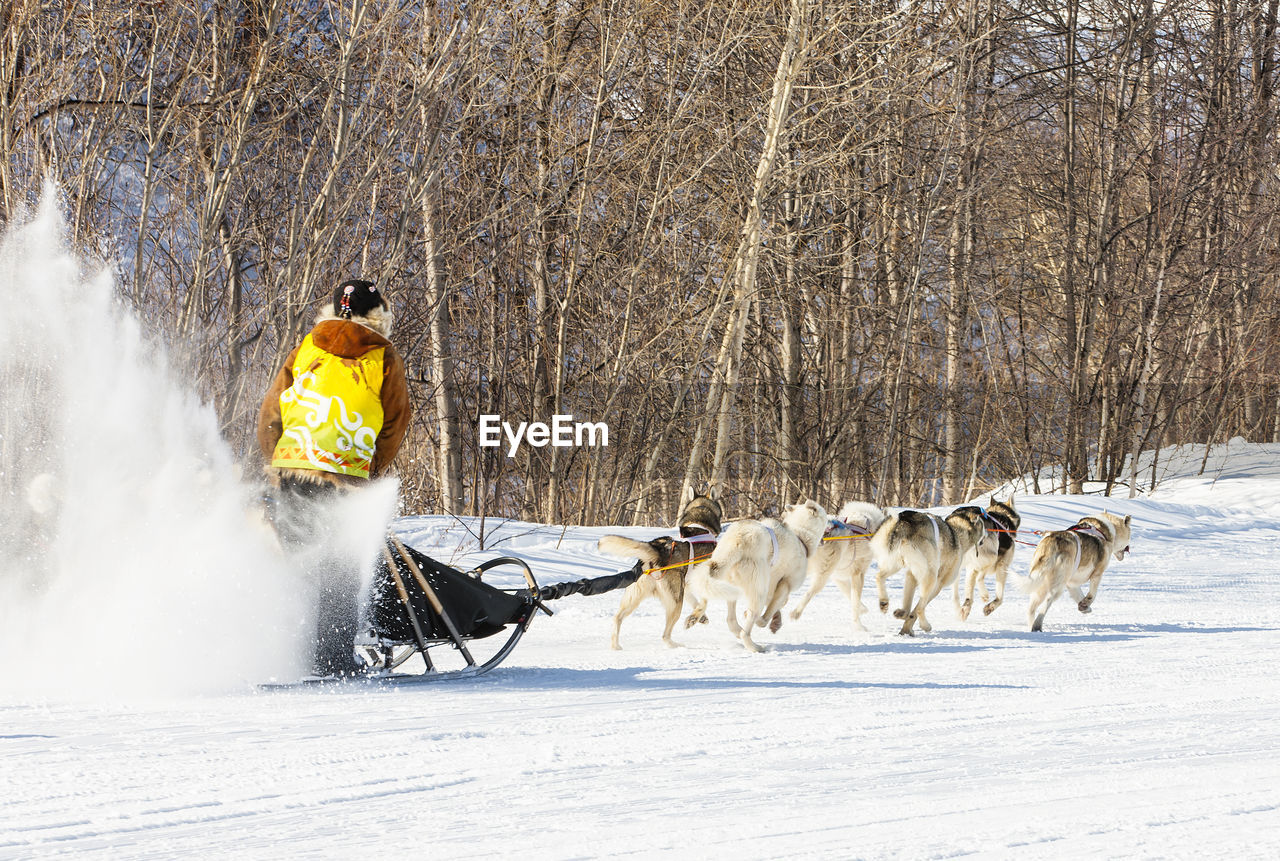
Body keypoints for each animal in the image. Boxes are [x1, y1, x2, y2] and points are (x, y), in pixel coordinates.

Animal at [596, 486, 727, 647]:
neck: (699, 524)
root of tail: (657, 551)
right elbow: (703, 603)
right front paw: (694, 618)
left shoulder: (686, 586)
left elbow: (697, 602)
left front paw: (699, 617)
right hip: (676, 603)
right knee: (665, 635)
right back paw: (676, 646)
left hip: (635, 598)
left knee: (617, 618)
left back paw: (616, 647)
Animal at [686, 496, 824, 652]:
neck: (799, 536)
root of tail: (739, 540)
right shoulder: (785, 584)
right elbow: (772, 609)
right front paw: (765, 620)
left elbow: (778, 604)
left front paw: (775, 620)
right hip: (758, 588)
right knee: (750, 619)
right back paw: (753, 644)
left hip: (723, 579)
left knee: (723, 613)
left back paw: (697, 617)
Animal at [870, 506, 988, 634]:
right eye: (983, 525)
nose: (988, 533)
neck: (957, 533)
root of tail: (903, 520)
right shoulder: (938, 584)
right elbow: (917, 609)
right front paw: (909, 626)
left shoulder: (911, 575)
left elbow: (908, 605)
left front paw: (903, 618)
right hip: (930, 576)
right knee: (920, 608)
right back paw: (925, 625)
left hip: (895, 564)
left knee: (879, 576)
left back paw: (884, 602)